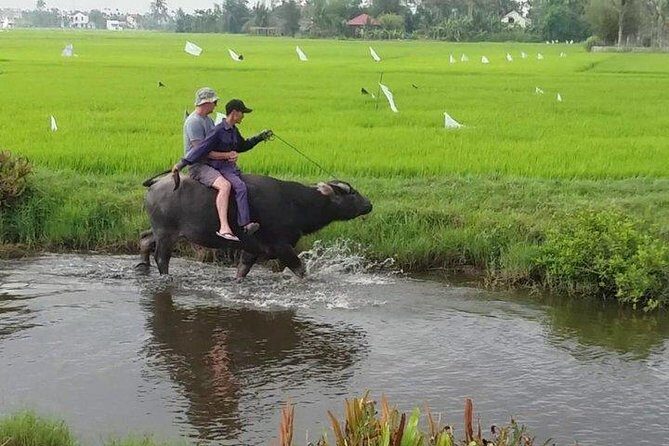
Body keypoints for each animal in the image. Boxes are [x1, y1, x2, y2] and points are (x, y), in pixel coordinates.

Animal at [138, 174, 372, 279]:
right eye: (350, 193)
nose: (369, 205)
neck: (295, 203)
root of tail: (157, 183)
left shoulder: (252, 249)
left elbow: (242, 270)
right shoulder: (282, 246)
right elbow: (300, 269)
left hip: (162, 231)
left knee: (145, 239)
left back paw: (142, 265)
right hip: (166, 234)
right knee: (162, 257)